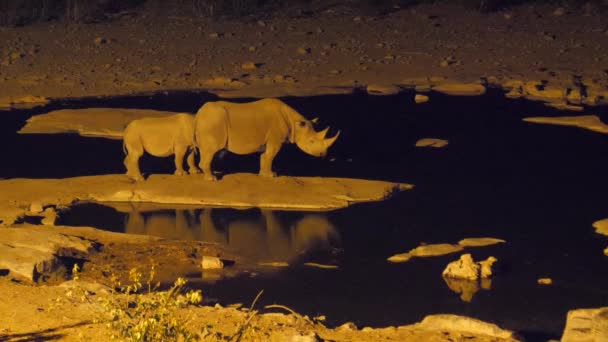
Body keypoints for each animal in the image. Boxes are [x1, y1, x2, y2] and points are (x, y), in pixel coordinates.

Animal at [194, 97, 338, 180]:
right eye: (311, 141)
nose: (323, 154)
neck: (294, 122)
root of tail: (199, 114)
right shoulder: (276, 139)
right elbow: (271, 156)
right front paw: (272, 176)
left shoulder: (267, 140)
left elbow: (265, 156)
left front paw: (264, 175)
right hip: (213, 122)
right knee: (211, 150)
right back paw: (212, 179)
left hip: (208, 123)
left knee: (207, 150)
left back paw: (213, 173)